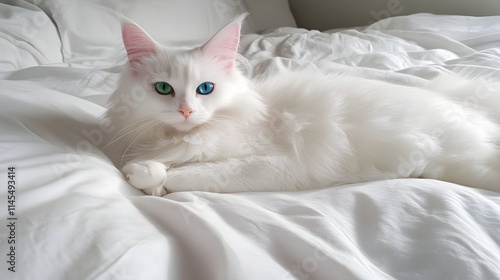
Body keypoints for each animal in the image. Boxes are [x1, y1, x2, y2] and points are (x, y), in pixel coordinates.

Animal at [101, 18, 500, 197]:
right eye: (163, 89)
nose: (185, 111)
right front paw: (148, 173)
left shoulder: (274, 164)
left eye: (205, 89)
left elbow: (189, 176)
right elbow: (161, 169)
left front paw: (149, 176)